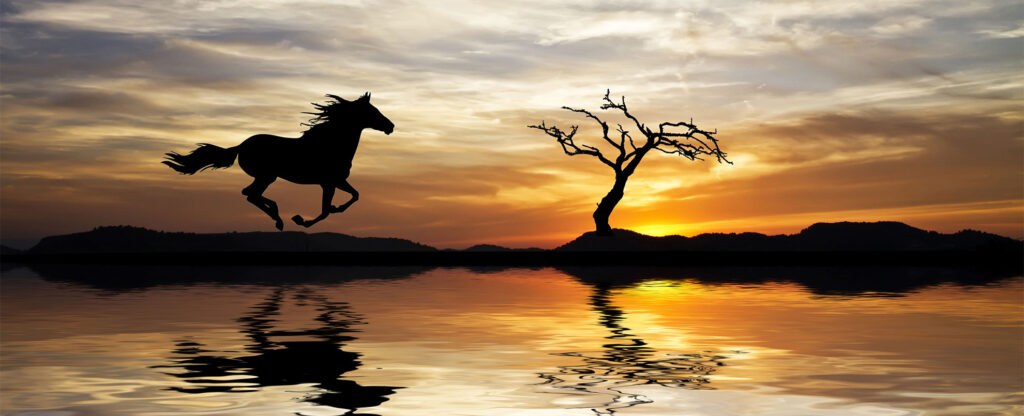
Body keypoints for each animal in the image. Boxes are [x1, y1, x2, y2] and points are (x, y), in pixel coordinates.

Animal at [162, 93, 394, 230]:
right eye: (373, 111)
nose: (390, 126)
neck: (330, 144)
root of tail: (241, 146)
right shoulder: (328, 183)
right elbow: (326, 210)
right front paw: (301, 220)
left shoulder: (335, 181)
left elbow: (354, 196)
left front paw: (333, 209)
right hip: (266, 176)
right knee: (251, 194)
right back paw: (278, 217)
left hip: (266, 177)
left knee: (249, 194)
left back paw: (277, 215)